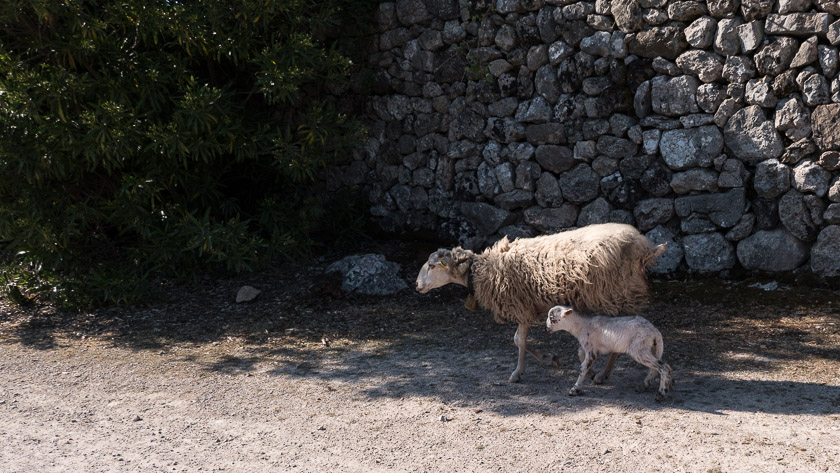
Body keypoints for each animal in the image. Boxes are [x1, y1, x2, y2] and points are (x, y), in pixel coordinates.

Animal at [415, 222, 665, 383]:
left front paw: (518, 373)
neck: (482, 271)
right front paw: (551, 359)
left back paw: (603, 374)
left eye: (432, 265)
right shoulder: (529, 306)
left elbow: (519, 340)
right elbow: (519, 341)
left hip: (616, 294)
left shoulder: (521, 306)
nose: (416, 285)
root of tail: (645, 247)